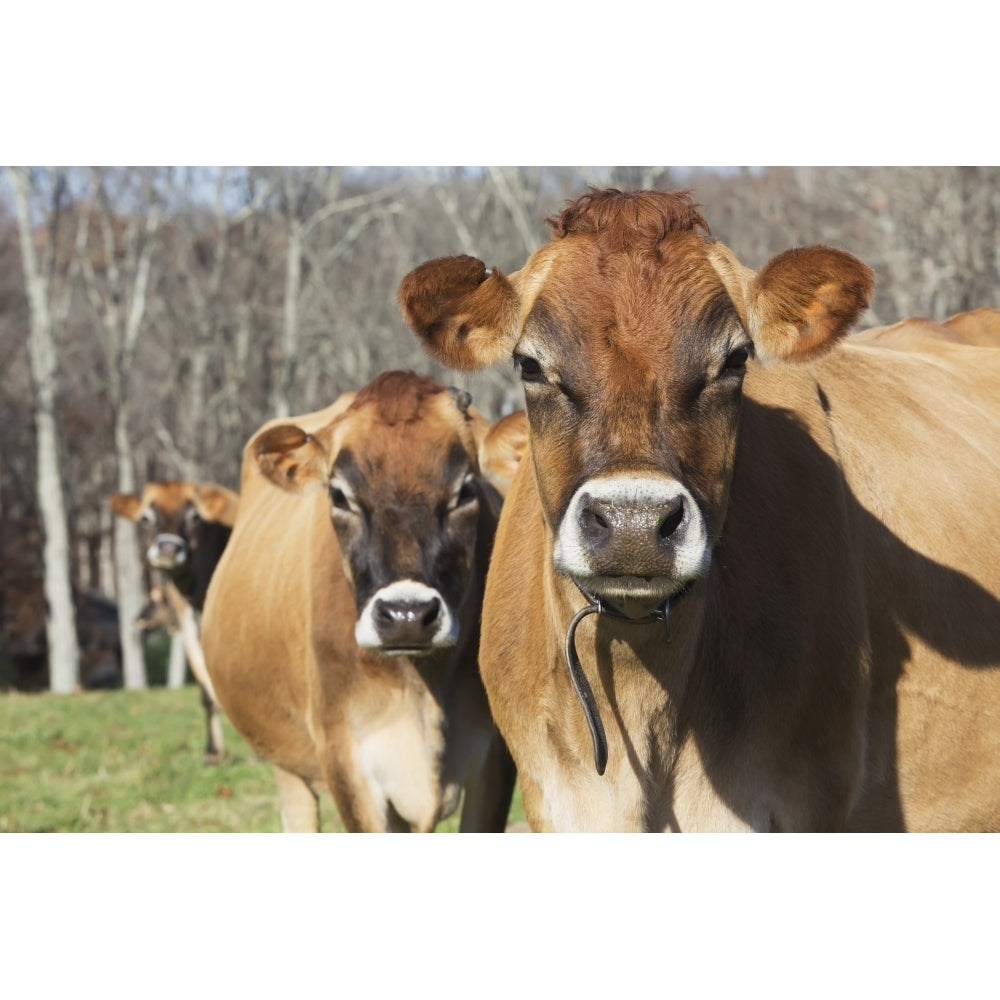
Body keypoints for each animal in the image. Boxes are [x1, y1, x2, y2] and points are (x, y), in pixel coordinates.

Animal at [110, 480, 240, 760]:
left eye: (194, 517)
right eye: (146, 517)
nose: (168, 550)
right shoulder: (186, 621)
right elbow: (206, 688)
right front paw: (213, 752)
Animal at [196, 372, 524, 832]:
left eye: (465, 490)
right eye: (338, 495)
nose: (407, 615)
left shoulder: (494, 757)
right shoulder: (347, 760)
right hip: (284, 759)